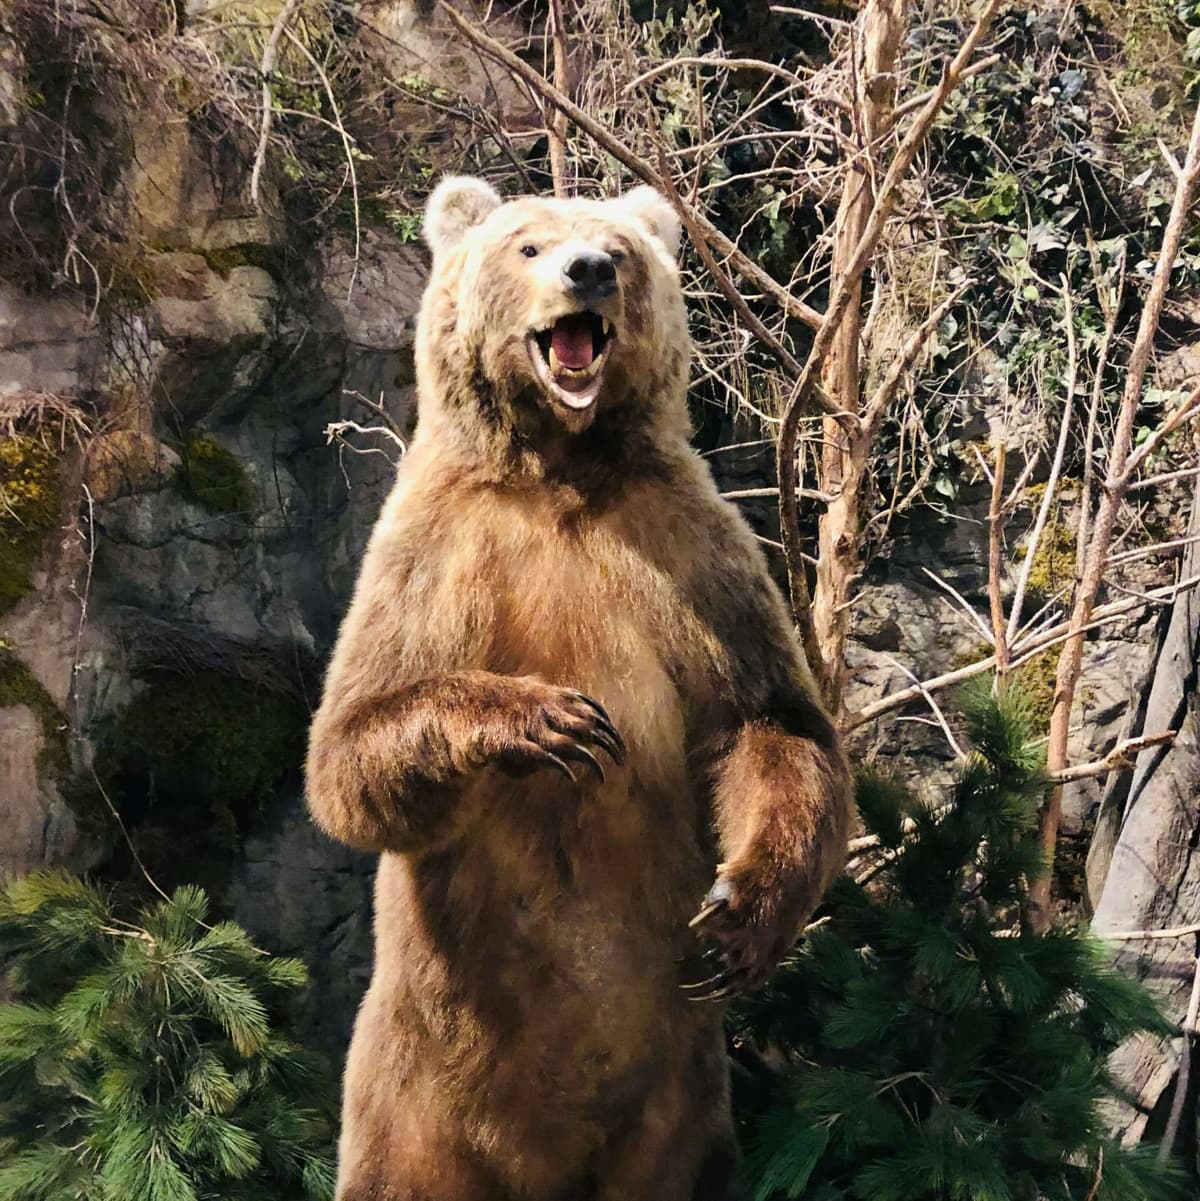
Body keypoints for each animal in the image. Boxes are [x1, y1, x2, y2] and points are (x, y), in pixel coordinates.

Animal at [304, 176, 851, 1201]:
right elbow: (352, 748)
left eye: (621, 249)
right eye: (527, 244)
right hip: (414, 1091)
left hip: (678, 1098)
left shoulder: (690, 546)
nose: (588, 269)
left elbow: (768, 720)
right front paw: (551, 721)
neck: (560, 467)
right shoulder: (431, 554)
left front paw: (737, 921)